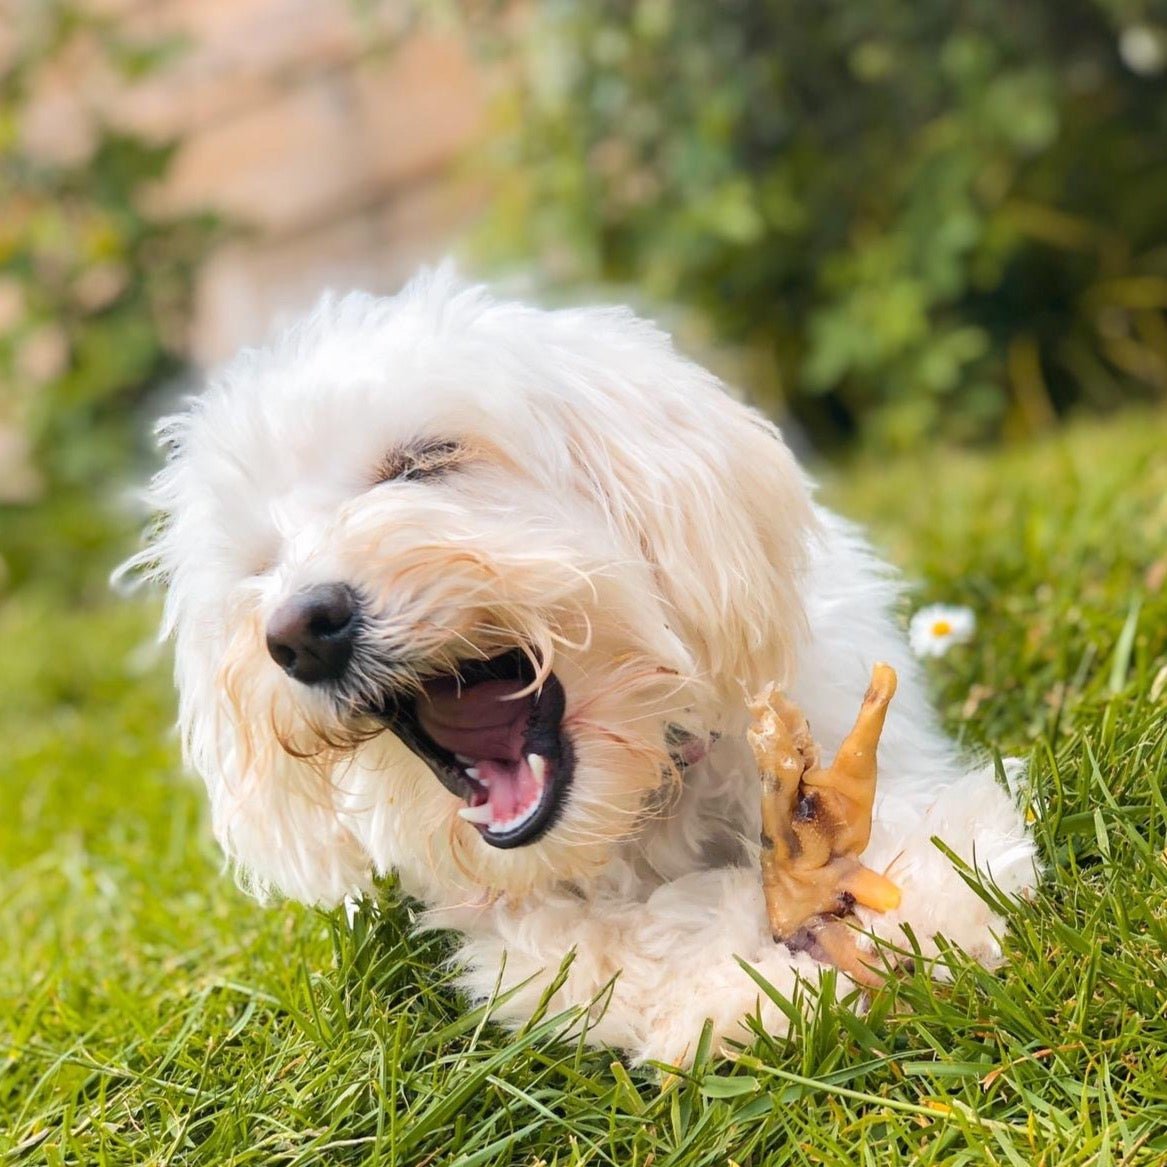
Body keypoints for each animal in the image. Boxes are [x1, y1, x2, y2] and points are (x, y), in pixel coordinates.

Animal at [130, 268, 1040, 1064]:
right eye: (259, 563)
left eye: (425, 461)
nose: (300, 631)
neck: (642, 794)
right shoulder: (515, 930)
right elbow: (610, 948)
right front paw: (739, 981)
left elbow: (920, 829)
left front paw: (921, 900)